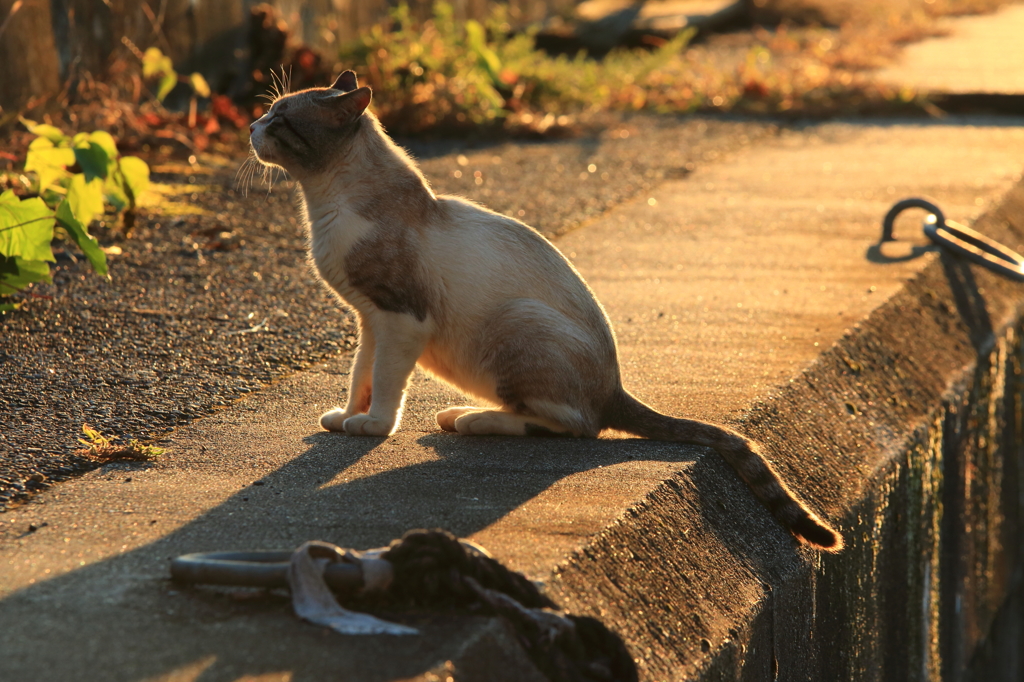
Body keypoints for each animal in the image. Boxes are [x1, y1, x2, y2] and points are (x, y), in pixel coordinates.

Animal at [247, 69, 839, 548]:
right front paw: (348, 417)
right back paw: (459, 415)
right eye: (268, 111)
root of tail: (615, 386)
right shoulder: (369, 320)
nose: (251, 125)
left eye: (281, 119)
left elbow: (388, 386)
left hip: (518, 325)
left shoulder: (400, 319)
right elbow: (361, 376)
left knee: (576, 426)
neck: (323, 206)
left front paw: (372, 427)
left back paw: (471, 419)